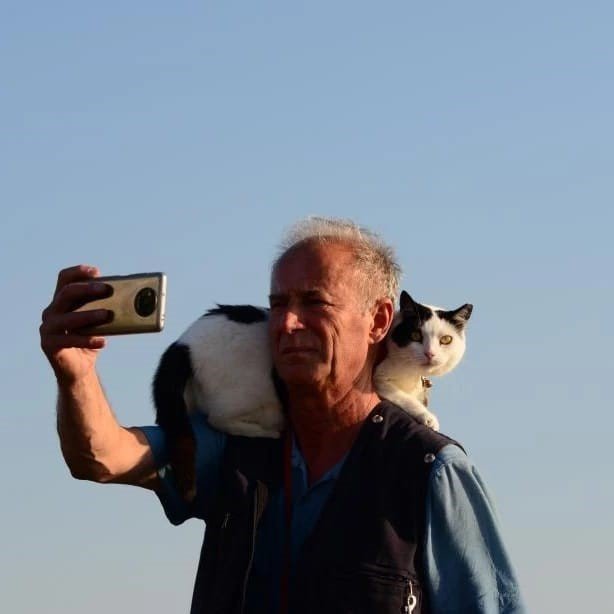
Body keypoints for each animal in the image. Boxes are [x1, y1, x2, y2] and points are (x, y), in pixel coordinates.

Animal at [152, 294, 474, 500]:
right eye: (417, 336)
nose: (430, 354)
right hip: (247, 389)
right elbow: (401, 397)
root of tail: (183, 344)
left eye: (445, 340)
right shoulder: (378, 380)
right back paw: (268, 430)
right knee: (218, 418)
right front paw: (427, 417)